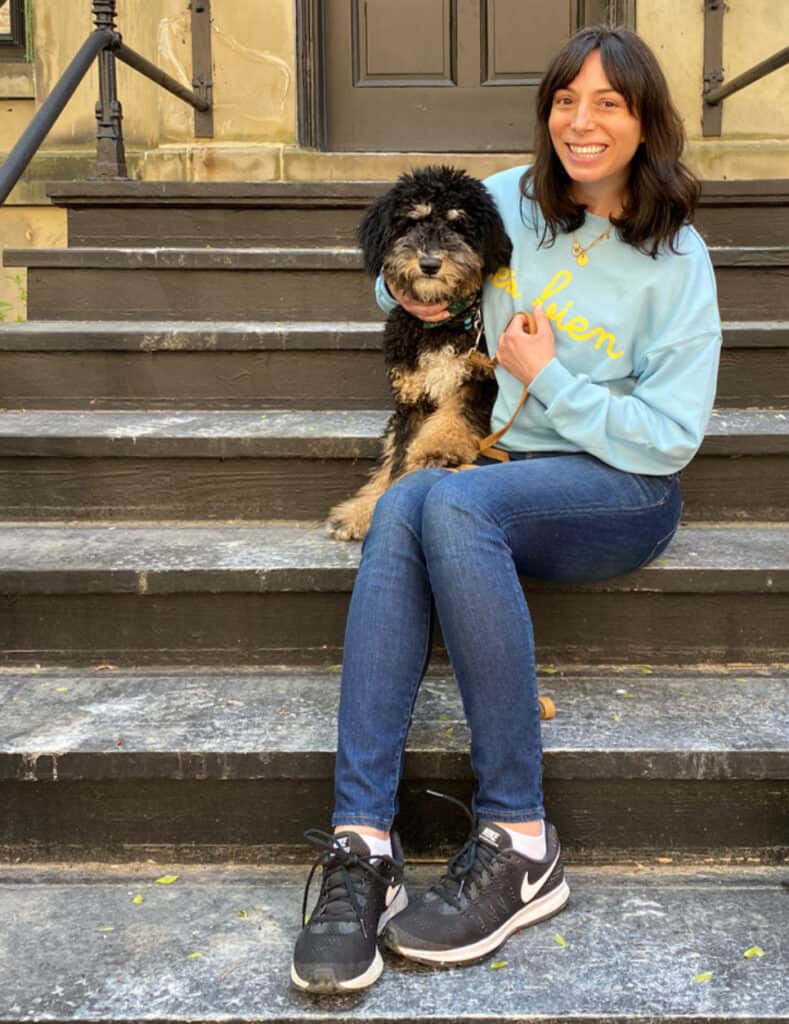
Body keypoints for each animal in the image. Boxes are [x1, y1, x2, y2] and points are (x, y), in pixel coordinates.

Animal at [325, 163, 511, 540]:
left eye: (457, 224)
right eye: (411, 223)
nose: (429, 263)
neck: (442, 327)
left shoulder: (482, 379)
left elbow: (456, 414)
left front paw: (439, 447)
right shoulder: (410, 399)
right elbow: (397, 465)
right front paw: (371, 510)